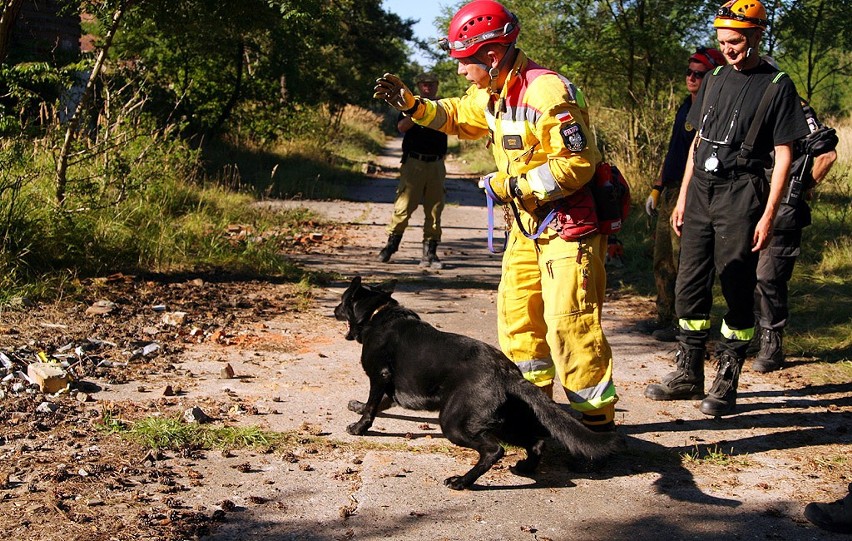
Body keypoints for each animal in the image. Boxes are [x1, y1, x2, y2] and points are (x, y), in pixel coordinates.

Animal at [332, 276, 620, 488]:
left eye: (342, 300)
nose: (333, 310)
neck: (377, 313)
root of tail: (506, 372)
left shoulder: (378, 377)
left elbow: (372, 406)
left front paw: (359, 427)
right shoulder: (391, 388)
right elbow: (377, 404)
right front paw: (356, 406)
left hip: (455, 423)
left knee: (493, 451)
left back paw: (463, 481)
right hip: (503, 422)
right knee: (536, 443)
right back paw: (525, 467)